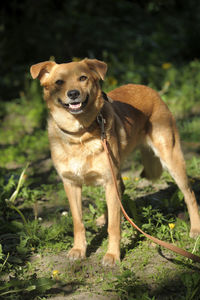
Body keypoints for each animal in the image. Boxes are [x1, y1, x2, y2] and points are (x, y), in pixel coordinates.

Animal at [30, 58, 200, 264]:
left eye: (83, 78)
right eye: (59, 82)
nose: (73, 94)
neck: (80, 134)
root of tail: (148, 88)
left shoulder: (110, 181)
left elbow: (114, 225)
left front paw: (112, 254)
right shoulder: (71, 184)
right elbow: (78, 222)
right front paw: (79, 249)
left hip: (171, 159)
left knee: (190, 194)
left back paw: (195, 228)